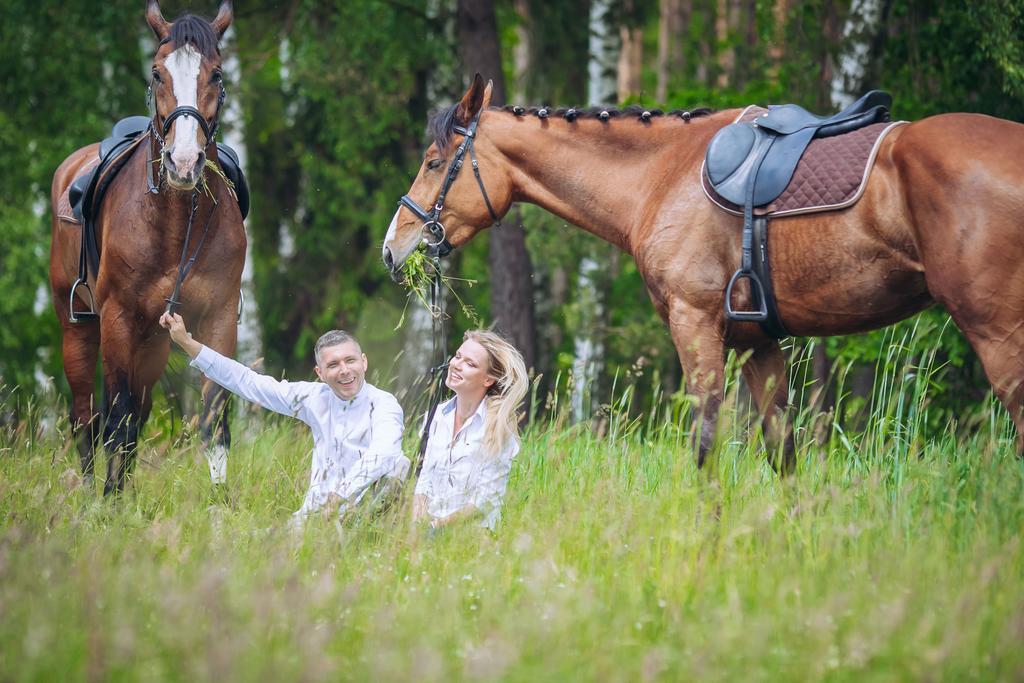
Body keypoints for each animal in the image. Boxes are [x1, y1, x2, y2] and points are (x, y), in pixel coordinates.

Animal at [50, 0, 245, 491]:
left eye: (216, 74)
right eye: (158, 73)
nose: (183, 162)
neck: (175, 224)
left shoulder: (217, 319)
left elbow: (214, 418)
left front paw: (219, 502)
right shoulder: (117, 320)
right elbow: (117, 419)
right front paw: (111, 501)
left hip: (153, 342)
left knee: (136, 412)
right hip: (77, 329)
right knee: (85, 417)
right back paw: (89, 491)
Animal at [382, 74, 1024, 471]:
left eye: (435, 162)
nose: (393, 247)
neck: (663, 175)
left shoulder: (696, 329)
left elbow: (705, 449)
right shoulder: (761, 344)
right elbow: (782, 454)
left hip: (998, 336)